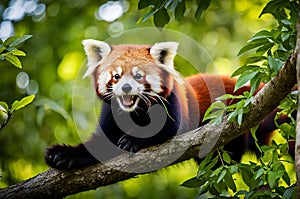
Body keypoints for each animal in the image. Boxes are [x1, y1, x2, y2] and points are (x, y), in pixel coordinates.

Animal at [44, 40, 288, 169]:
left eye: (139, 76)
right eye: (116, 76)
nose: (126, 88)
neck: (135, 111)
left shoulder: (172, 104)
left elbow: (166, 131)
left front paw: (132, 141)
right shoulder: (111, 113)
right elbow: (101, 144)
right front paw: (63, 154)